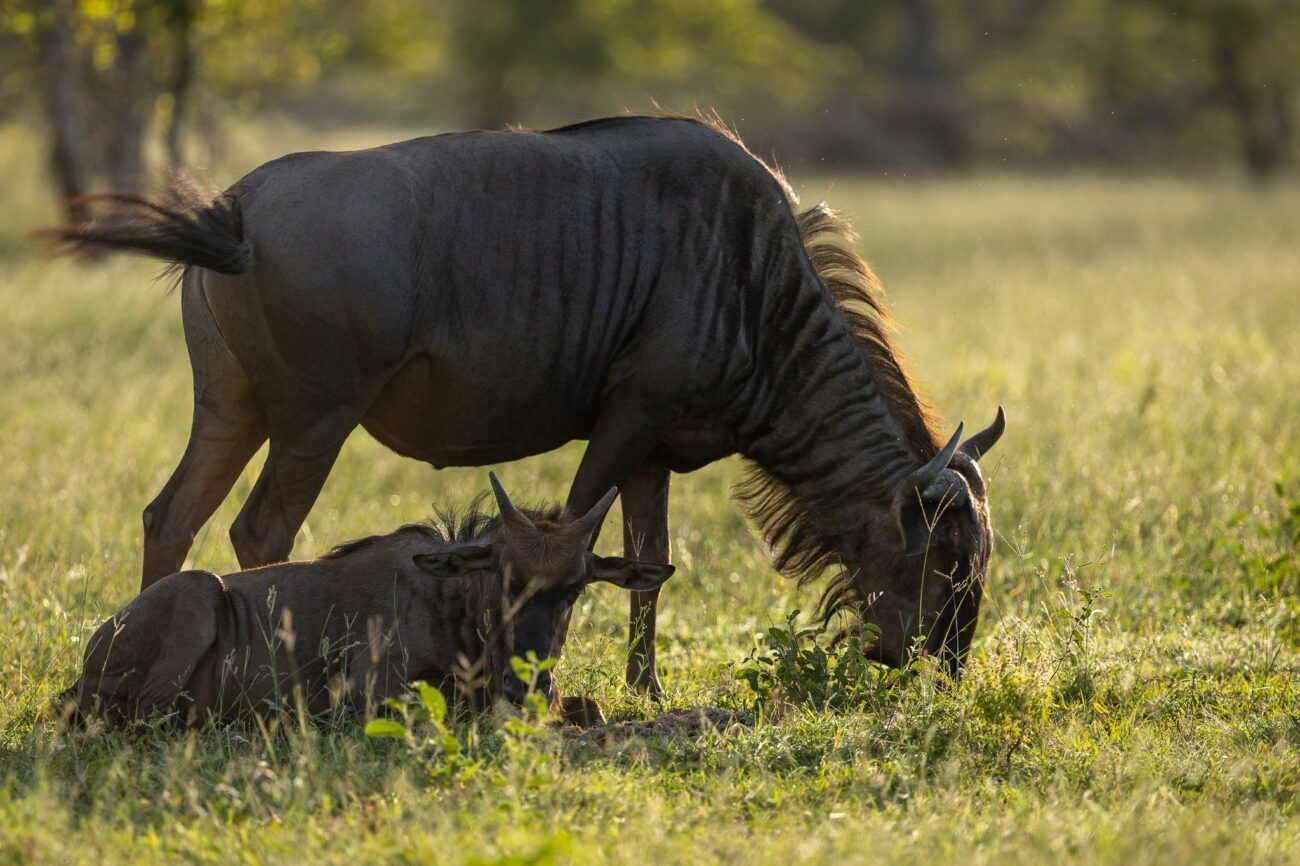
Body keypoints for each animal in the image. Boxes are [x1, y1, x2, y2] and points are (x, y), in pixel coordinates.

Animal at [57, 473, 676, 728]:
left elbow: (590, 709)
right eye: (504, 576)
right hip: (199, 595)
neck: (449, 605)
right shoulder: (370, 694)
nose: (526, 684)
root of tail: (91, 655)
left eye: (576, 587)